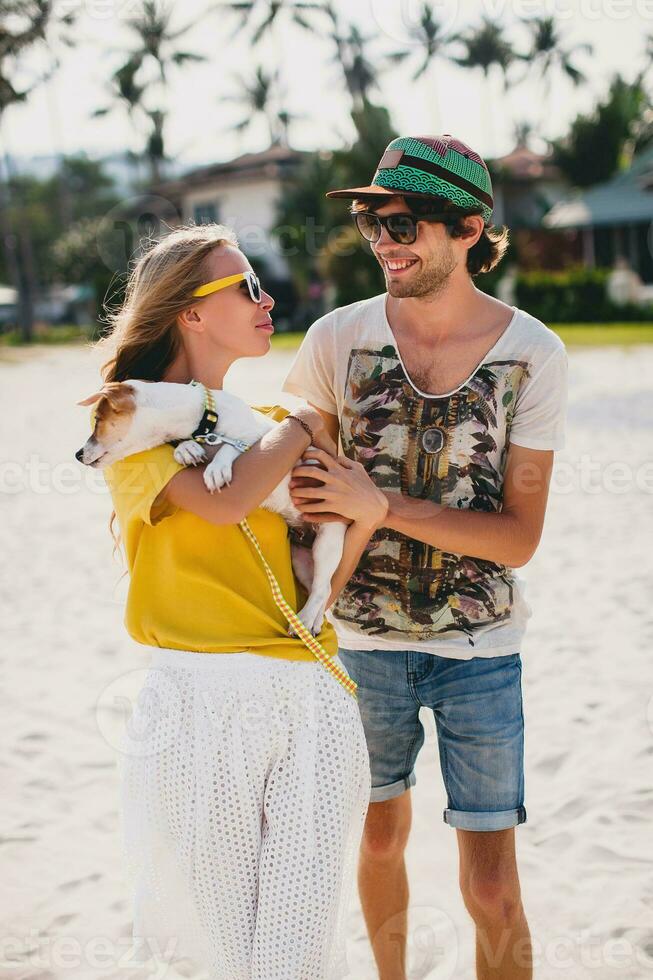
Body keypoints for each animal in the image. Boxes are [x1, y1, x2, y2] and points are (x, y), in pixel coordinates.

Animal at [76, 378, 346, 640]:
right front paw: (186, 449)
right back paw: (312, 621)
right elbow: (186, 446)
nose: (78, 454)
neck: (204, 426)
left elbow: (232, 446)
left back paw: (306, 620)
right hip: (298, 556)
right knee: (324, 587)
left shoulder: (259, 436)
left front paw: (216, 468)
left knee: (322, 586)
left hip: (328, 539)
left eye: (97, 421)